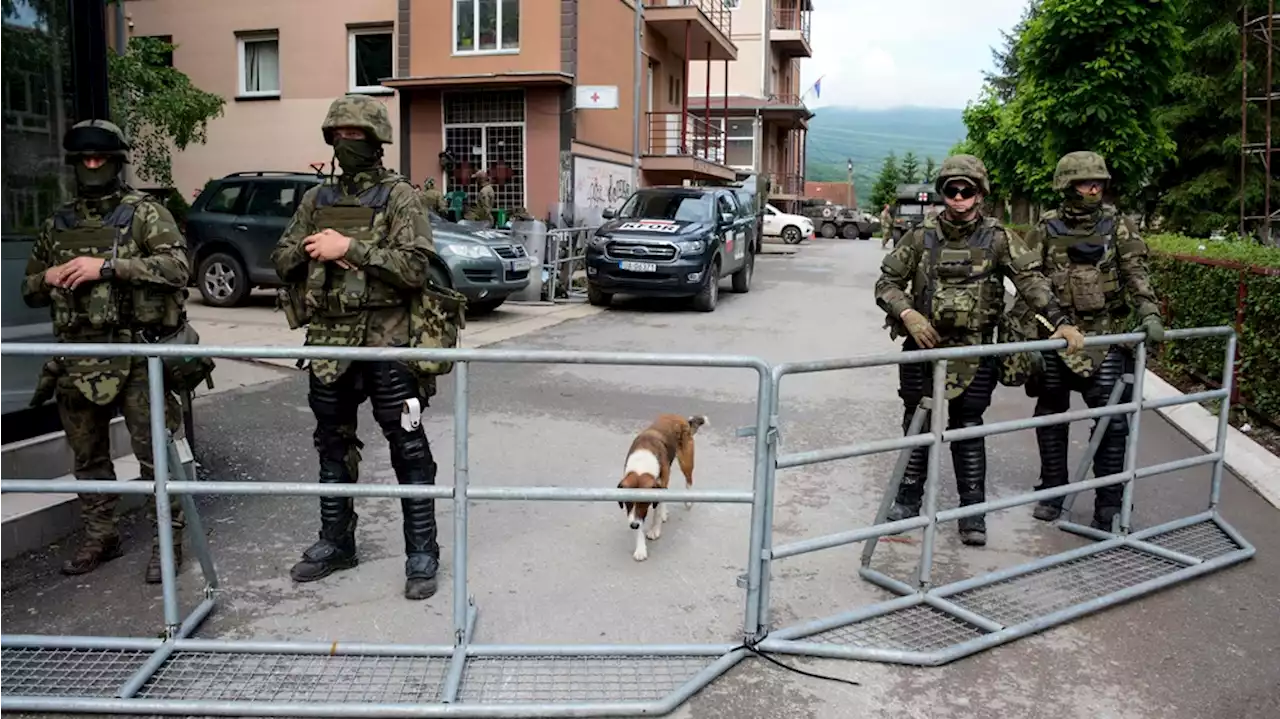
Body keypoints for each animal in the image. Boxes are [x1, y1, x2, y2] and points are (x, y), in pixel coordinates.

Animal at [619, 414, 711, 560]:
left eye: (644, 503)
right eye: (627, 503)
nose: (633, 526)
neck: (641, 466)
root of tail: (680, 418)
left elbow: (655, 513)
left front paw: (655, 530)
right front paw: (640, 549)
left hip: (686, 461)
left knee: (689, 480)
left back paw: (687, 500)